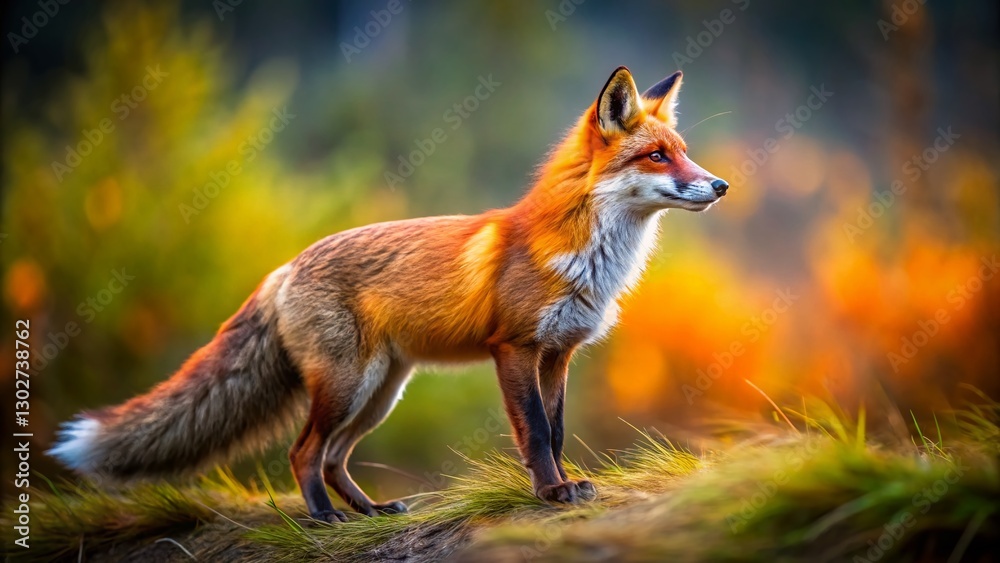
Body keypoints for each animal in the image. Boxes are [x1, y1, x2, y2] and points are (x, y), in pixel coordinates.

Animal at [49, 66, 729, 523]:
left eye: (684, 154)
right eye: (657, 156)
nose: (720, 185)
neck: (587, 258)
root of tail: (285, 267)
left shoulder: (559, 352)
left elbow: (557, 432)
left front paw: (565, 485)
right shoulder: (513, 348)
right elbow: (535, 433)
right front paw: (549, 493)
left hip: (380, 392)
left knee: (332, 458)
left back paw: (369, 512)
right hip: (348, 384)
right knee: (302, 452)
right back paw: (324, 519)